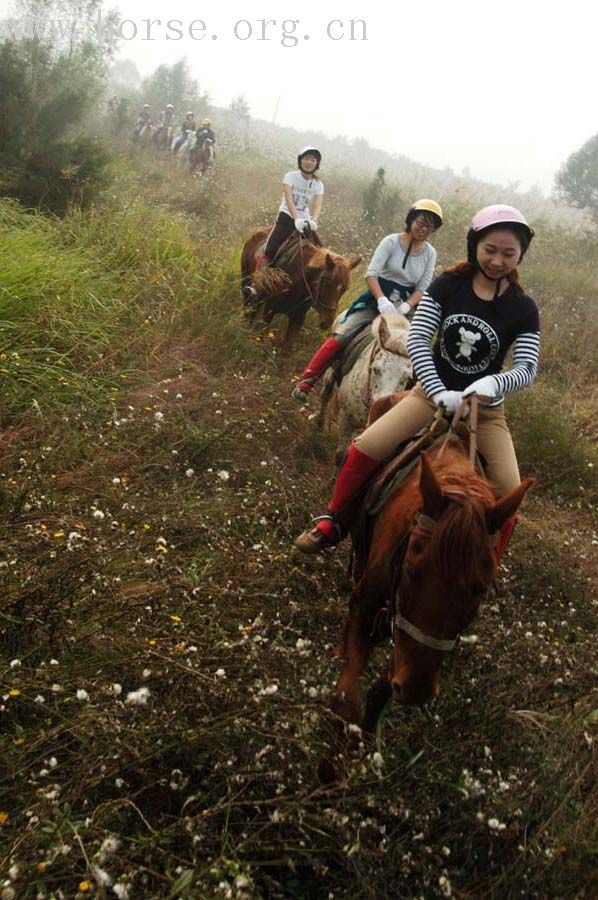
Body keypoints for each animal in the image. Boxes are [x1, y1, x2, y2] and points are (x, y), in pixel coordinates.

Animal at [328, 432, 536, 740]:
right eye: (411, 567)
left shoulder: (404, 643)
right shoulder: (364, 608)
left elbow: (379, 692)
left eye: (481, 589)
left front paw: (366, 738)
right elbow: (347, 703)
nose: (417, 689)